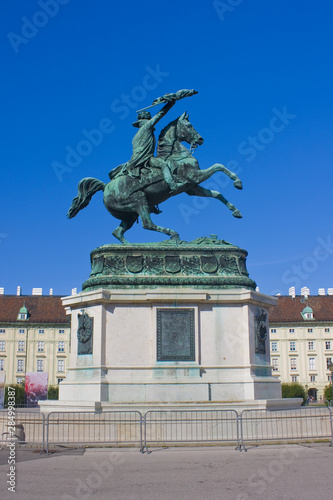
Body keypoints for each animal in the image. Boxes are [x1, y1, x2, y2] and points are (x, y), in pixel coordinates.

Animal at [67, 115, 243, 244]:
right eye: (188, 125)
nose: (200, 139)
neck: (177, 155)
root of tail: (105, 187)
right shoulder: (195, 177)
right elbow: (218, 166)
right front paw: (237, 181)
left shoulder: (192, 188)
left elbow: (217, 194)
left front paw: (235, 211)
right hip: (138, 201)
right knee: (147, 224)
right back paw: (173, 235)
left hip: (130, 215)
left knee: (117, 232)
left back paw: (131, 247)